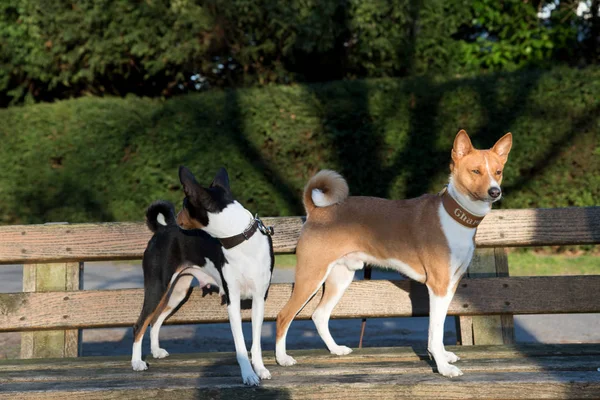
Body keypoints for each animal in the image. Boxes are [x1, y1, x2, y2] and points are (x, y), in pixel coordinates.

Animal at [131, 166, 274, 384]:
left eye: (184, 204)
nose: (177, 219)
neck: (241, 241)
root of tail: (162, 229)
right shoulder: (233, 300)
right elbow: (241, 345)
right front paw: (248, 375)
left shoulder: (259, 299)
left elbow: (255, 344)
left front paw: (259, 369)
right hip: (157, 288)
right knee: (140, 324)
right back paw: (137, 363)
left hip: (177, 293)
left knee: (155, 320)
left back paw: (155, 351)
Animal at [276, 130, 510, 378]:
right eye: (475, 171)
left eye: (498, 172)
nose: (495, 191)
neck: (454, 216)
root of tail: (316, 212)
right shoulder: (438, 286)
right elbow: (435, 332)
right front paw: (443, 367)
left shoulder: (450, 286)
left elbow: (437, 329)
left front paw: (441, 357)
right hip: (311, 276)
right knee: (284, 316)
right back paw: (282, 359)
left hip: (340, 278)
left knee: (319, 315)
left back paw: (336, 349)